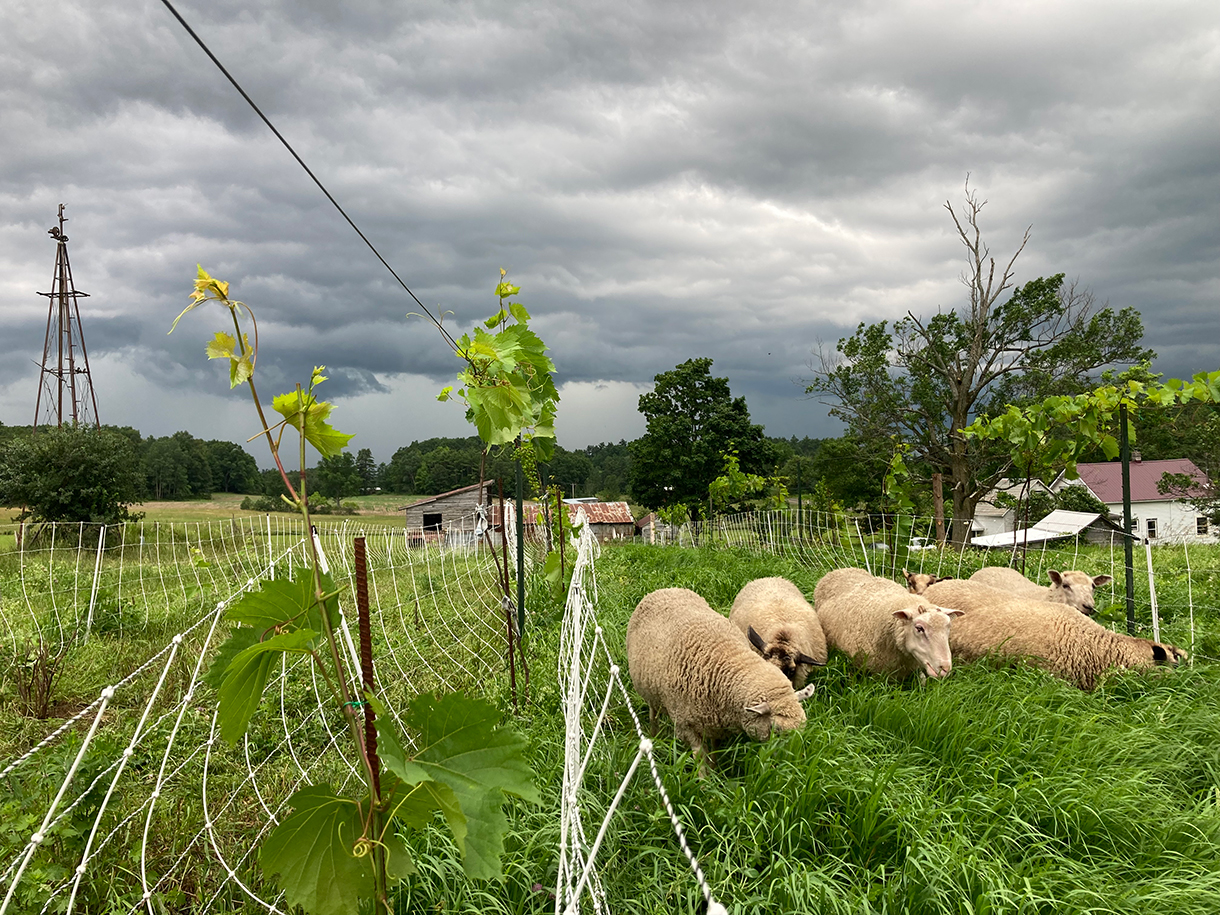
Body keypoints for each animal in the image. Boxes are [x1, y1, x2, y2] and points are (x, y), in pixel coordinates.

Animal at [624, 588, 814, 766]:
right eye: (777, 729)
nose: (793, 762)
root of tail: (665, 589)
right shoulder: (686, 726)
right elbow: (700, 761)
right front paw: (704, 778)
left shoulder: (717, 723)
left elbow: (714, 751)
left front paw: (715, 770)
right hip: (650, 692)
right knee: (653, 714)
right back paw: (654, 736)